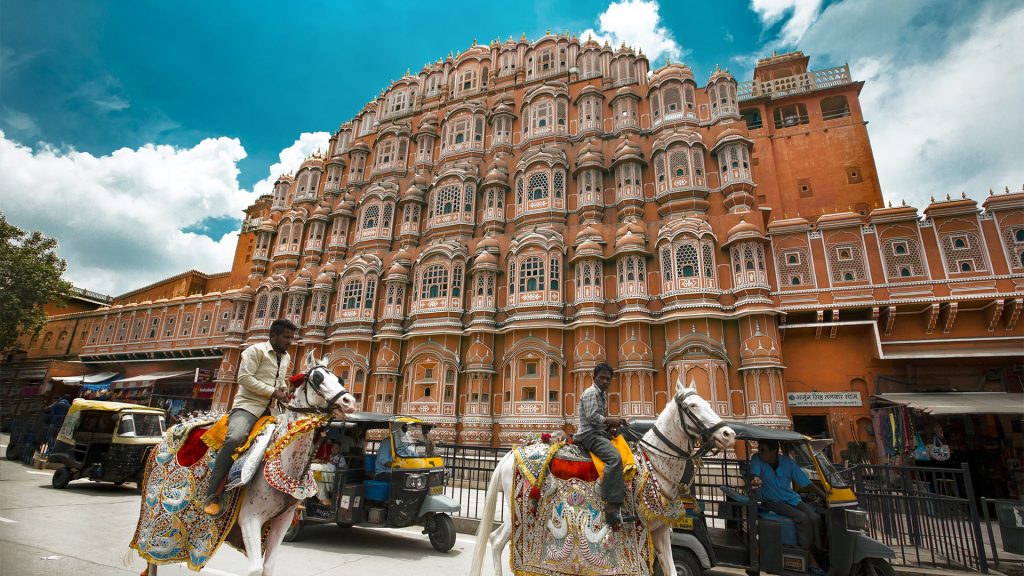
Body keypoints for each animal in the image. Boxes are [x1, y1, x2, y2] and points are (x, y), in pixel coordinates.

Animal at [128, 350, 356, 573]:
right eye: (318, 378)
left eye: (339, 379)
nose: (349, 402)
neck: (287, 465)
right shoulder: (249, 518)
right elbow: (255, 569)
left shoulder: (283, 519)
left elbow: (268, 567)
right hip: (154, 511)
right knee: (151, 555)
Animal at [468, 379, 733, 573]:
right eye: (692, 407)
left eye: (706, 402)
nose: (728, 434)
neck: (654, 465)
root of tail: (508, 456)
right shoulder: (638, 528)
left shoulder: (659, 529)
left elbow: (672, 569)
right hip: (520, 509)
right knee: (496, 541)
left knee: (496, 539)